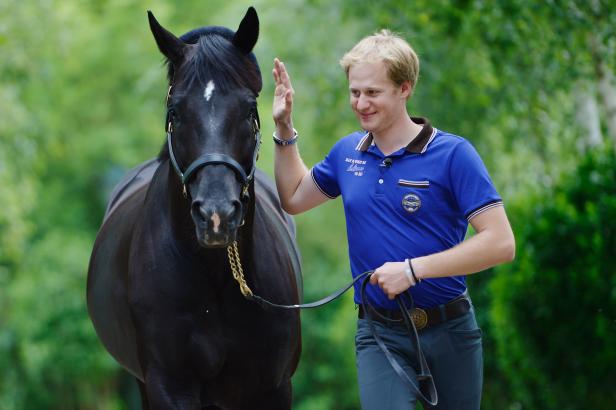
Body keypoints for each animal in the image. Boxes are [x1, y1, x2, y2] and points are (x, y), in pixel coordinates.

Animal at [87, 8, 304, 408]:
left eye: (249, 109)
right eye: (175, 111)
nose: (216, 216)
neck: (215, 277)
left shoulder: (274, 386)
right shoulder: (169, 386)